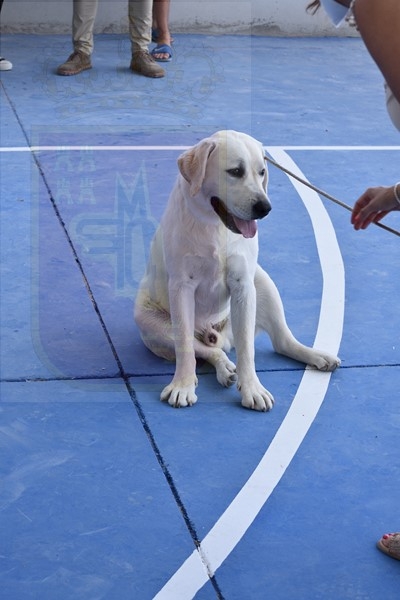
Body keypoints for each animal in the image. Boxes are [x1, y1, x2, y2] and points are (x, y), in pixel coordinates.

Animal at [134, 130, 340, 411]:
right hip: (148, 320)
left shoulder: (243, 285)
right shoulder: (181, 287)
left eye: (262, 172)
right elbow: (186, 345)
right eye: (235, 171)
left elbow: (246, 349)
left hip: (263, 282)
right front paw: (183, 386)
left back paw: (316, 355)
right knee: (208, 350)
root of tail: (217, 334)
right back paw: (223, 369)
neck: (215, 227)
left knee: (281, 342)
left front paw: (252, 388)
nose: (264, 208)